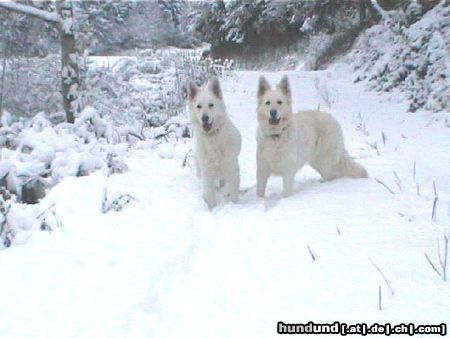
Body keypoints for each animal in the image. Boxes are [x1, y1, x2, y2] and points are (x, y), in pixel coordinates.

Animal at [188, 77, 241, 209]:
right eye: (199, 106)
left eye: (211, 105)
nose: (205, 118)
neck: (213, 138)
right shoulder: (207, 172)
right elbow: (210, 195)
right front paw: (212, 209)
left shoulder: (231, 169)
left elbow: (233, 193)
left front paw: (234, 206)